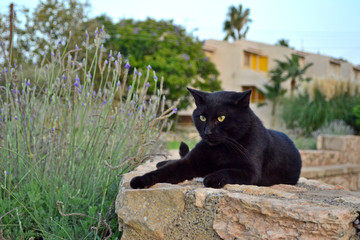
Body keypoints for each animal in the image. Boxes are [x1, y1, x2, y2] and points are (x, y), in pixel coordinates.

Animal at [131, 87, 302, 188]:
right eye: (202, 118)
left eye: (221, 118)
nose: (208, 132)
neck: (221, 150)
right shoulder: (190, 163)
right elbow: (163, 172)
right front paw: (140, 180)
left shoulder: (251, 172)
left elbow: (229, 171)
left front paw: (212, 178)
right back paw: (161, 162)